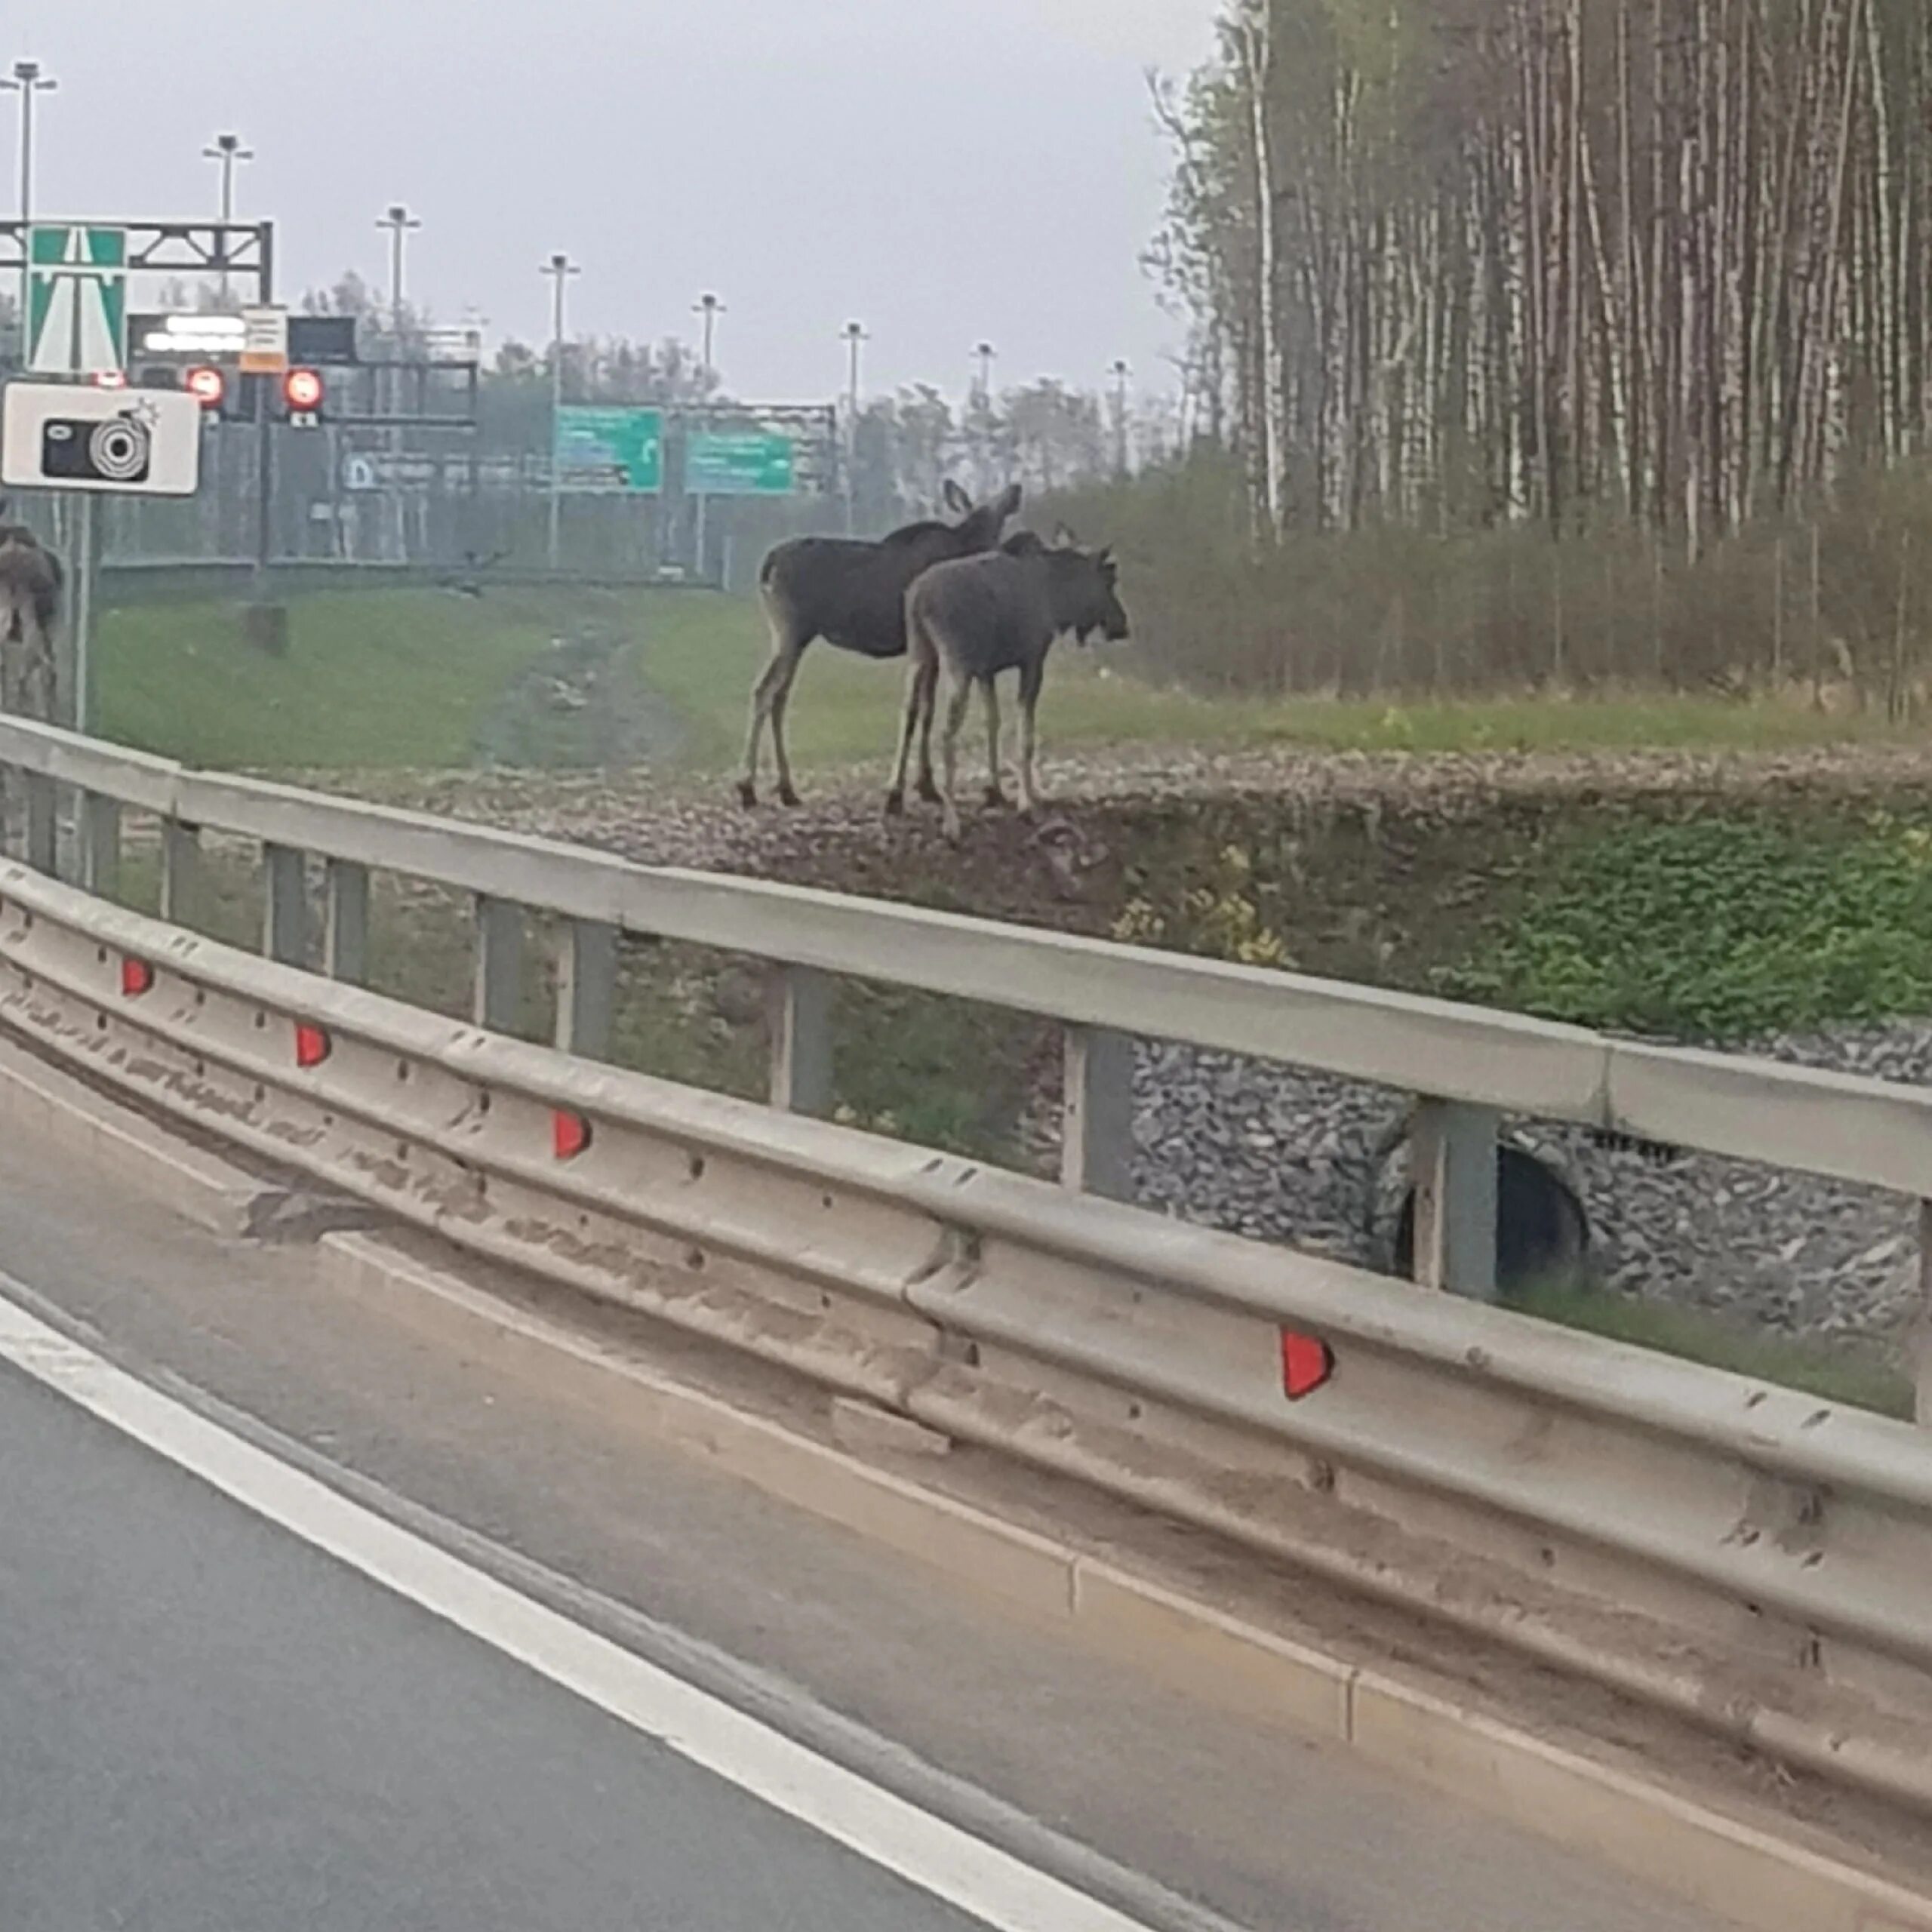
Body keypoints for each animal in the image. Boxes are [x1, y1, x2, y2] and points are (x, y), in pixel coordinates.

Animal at [734, 491, 1027, 815]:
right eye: (997, 517)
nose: (1014, 491)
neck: (966, 543)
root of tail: (767, 564)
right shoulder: (928, 647)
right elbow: (922, 709)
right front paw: (920, 786)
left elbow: (927, 709)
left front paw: (924, 784)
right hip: (790, 631)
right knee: (764, 690)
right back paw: (747, 787)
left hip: (793, 637)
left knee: (779, 697)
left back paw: (786, 789)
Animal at [888, 529, 1128, 838]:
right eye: (1109, 580)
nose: (1121, 624)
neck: (1057, 600)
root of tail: (917, 598)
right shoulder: (1032, 660)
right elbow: (1025, 735)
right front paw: (1027, 801)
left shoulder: (985, 671)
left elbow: (993, 722)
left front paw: (995, 791)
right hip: (956, 662)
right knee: (946, 732)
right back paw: (951, 820)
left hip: (920, 654)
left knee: (909, 712)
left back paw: (895, 794)